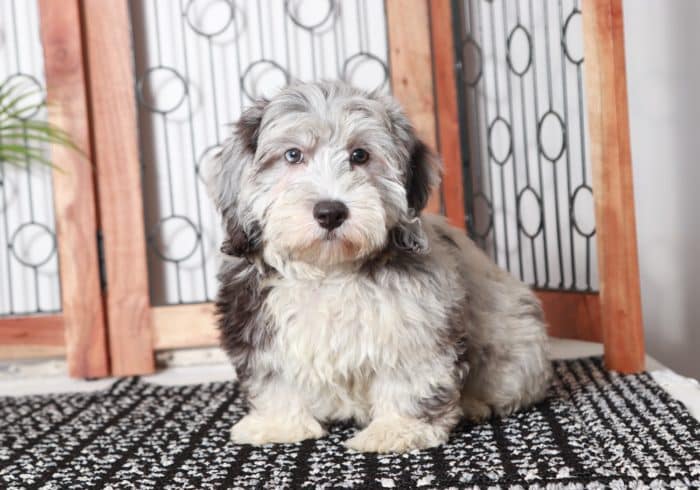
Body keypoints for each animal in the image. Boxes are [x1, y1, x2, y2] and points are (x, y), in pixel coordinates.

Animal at [205, 79, 548, 452]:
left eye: (360, 155)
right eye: (292, 155)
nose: (330, 212)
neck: (330, 270)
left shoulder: (416, 323)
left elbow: (409, 375)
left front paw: (398, 430)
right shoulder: (259, 324)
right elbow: (275, 377)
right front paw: (278, 424)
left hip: (514, 348)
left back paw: (472, 403)